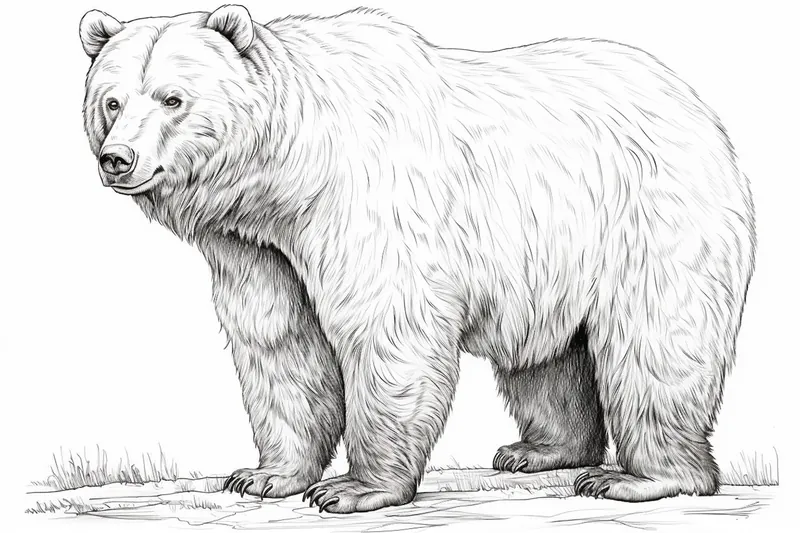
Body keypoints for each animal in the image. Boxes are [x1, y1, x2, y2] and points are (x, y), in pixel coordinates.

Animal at [79, 5, 756, 513]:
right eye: (112, 101)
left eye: (172, 99)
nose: (118, 159)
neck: (288, 174)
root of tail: (696, 105)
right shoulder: (255, 246)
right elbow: (279, 341)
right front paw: (266, 475)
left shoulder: (367, 202)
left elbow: (385, 327)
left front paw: (354, 488)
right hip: (550, 256)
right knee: (545, 358)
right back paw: (539, 451)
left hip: (651, 217)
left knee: (656, 342)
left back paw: (640, 477)